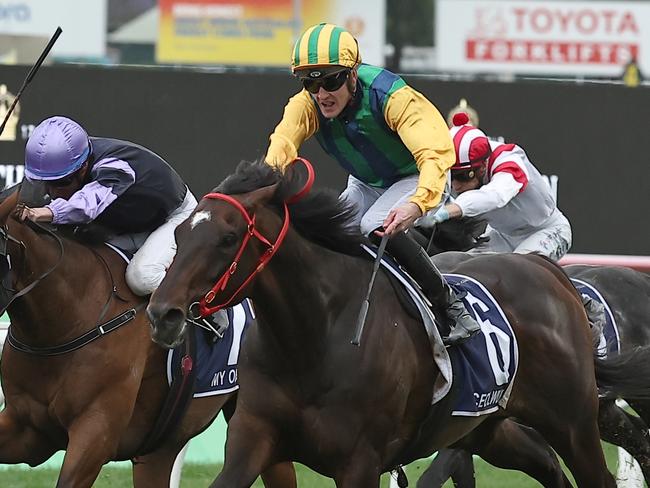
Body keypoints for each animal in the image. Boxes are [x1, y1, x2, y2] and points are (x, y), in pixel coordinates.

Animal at [148, 160, 636, 488]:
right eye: (180, 234)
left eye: (228, 238)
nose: (162, 313)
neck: (313, 340)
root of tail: (550, 273)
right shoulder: (253, 439)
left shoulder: (360, 461)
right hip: (488, 427)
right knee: (548, 466)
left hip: (573, 422)